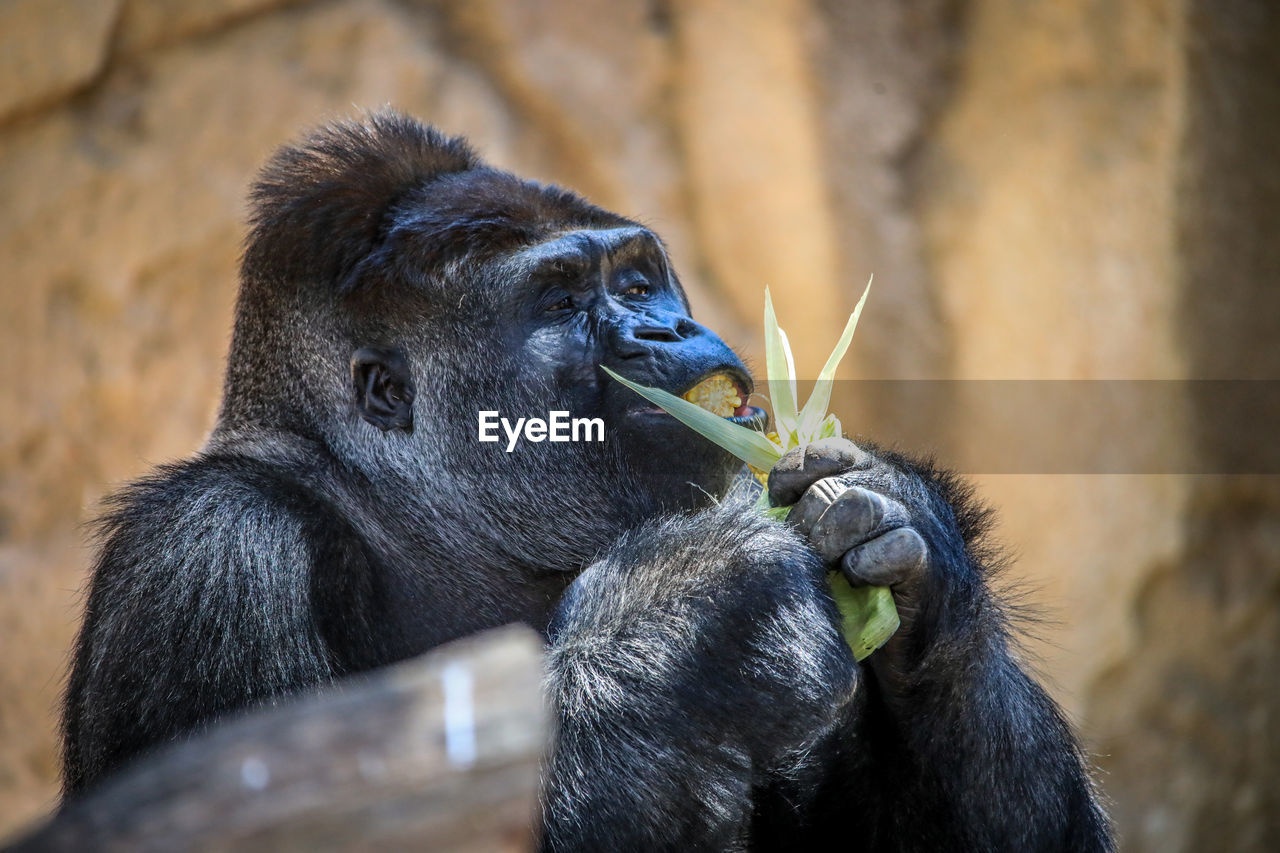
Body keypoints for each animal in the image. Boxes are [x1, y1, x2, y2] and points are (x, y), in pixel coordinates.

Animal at [62, 112, 1111, 850]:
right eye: (561, 303)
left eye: (639, 282)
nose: (665, 328)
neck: (405, 519)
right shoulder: (215, 558)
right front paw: (694, 618)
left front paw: (918, 554)